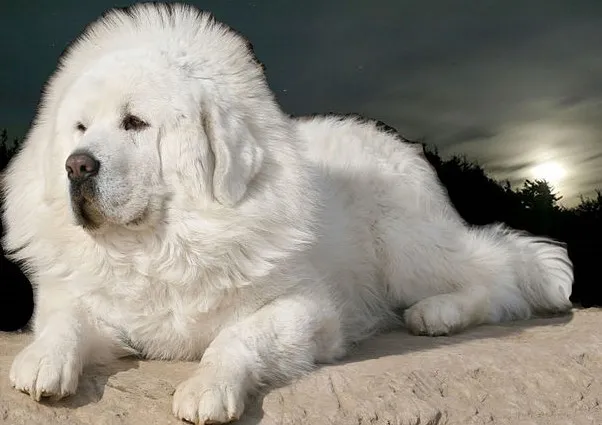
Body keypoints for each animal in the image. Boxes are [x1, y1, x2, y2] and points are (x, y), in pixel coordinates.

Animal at [1, 1, 572, 422]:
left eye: (135, 122)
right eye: (79, 128)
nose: (77, 166)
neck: (162, 244)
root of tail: (392, 138)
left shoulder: (307, 310)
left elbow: (236, 337)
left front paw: (208, 388)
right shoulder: (78, 298)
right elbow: (66, 320)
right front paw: (43, 361)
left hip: (405, 249)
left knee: (496, 276)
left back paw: (439, 313)